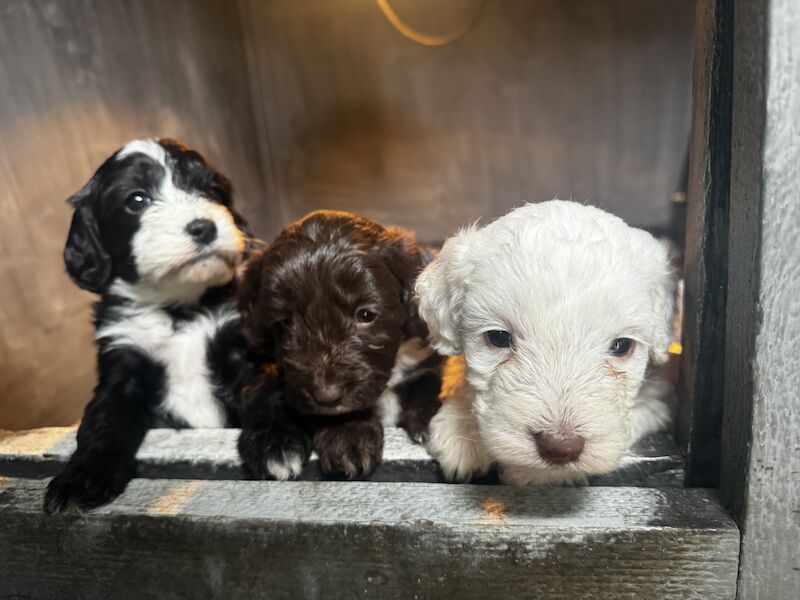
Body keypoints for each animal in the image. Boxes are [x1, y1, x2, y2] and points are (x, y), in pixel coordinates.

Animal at [46, 138, 250, 512]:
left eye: (212, 190)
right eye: (136, 200)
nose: (204, 226)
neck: (177, 310)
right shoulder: (121, 362)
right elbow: (103, 421)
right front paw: (80, 480)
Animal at [238, 210, 444, 478]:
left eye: (366, 315)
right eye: (284, 321)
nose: (326, 396)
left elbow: (429, 378)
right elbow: (265, 388)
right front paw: (276, 442)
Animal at [418, 199, 676, 486]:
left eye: (621, 346)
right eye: (498, 337)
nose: (560, 446)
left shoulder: (657, 395)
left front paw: (531, 472)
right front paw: (461, 432)